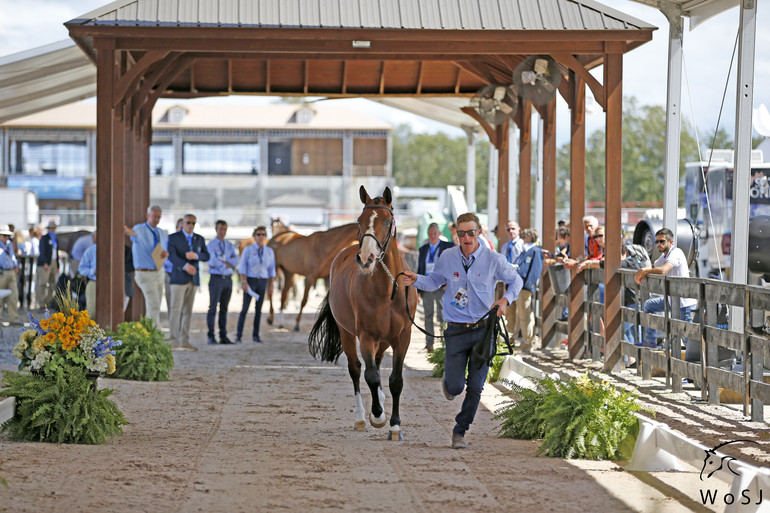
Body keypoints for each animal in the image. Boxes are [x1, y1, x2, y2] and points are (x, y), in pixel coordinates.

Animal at [308, 186, 414, 438]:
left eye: (387, 221)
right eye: (359, 220)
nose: (366, 258)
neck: (388, 291)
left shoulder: (402, 337)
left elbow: (396, 380)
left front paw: (395, 425)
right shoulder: (366, 336)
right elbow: (371, 375)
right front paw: (378, 416)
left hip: (383, 340)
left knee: (377, 362)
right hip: (347, 334)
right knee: (356, 369)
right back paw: (360, 417)